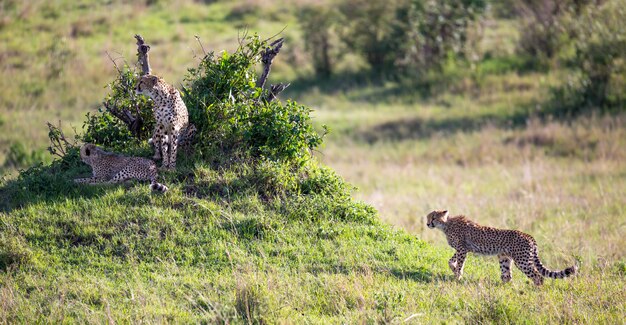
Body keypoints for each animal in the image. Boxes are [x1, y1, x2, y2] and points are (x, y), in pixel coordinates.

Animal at [424, 210, 576, 284]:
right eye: (428, 217)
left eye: (433, 218)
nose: (427, 224)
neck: (446, 225)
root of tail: (528, 235)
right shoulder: (463, 249)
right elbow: (450, 260)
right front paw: (454, 269)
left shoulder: (462, 249)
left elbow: (460, 264)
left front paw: (457, 276)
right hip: (504, 258)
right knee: (507, 276)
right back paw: (505, 290)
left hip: (522, 261)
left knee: (538, 276)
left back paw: (537, 292)